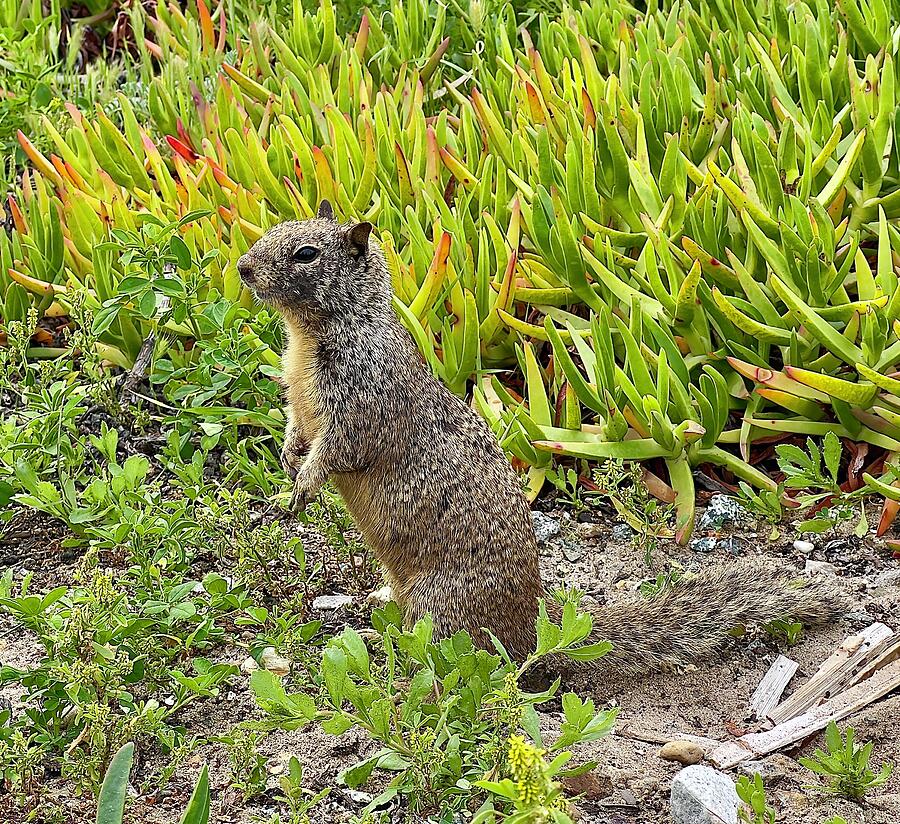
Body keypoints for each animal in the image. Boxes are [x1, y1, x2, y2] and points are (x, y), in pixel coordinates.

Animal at [237, 204, 844, 676]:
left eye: (306, 254)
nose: (242, 268)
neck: (311, 334)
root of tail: (532, 628)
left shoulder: (361, 400)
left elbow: (338, 449)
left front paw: (302, 488)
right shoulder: (299, 397)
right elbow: (297, 429)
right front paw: (287, 464)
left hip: (444, 605)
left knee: (465, 660)